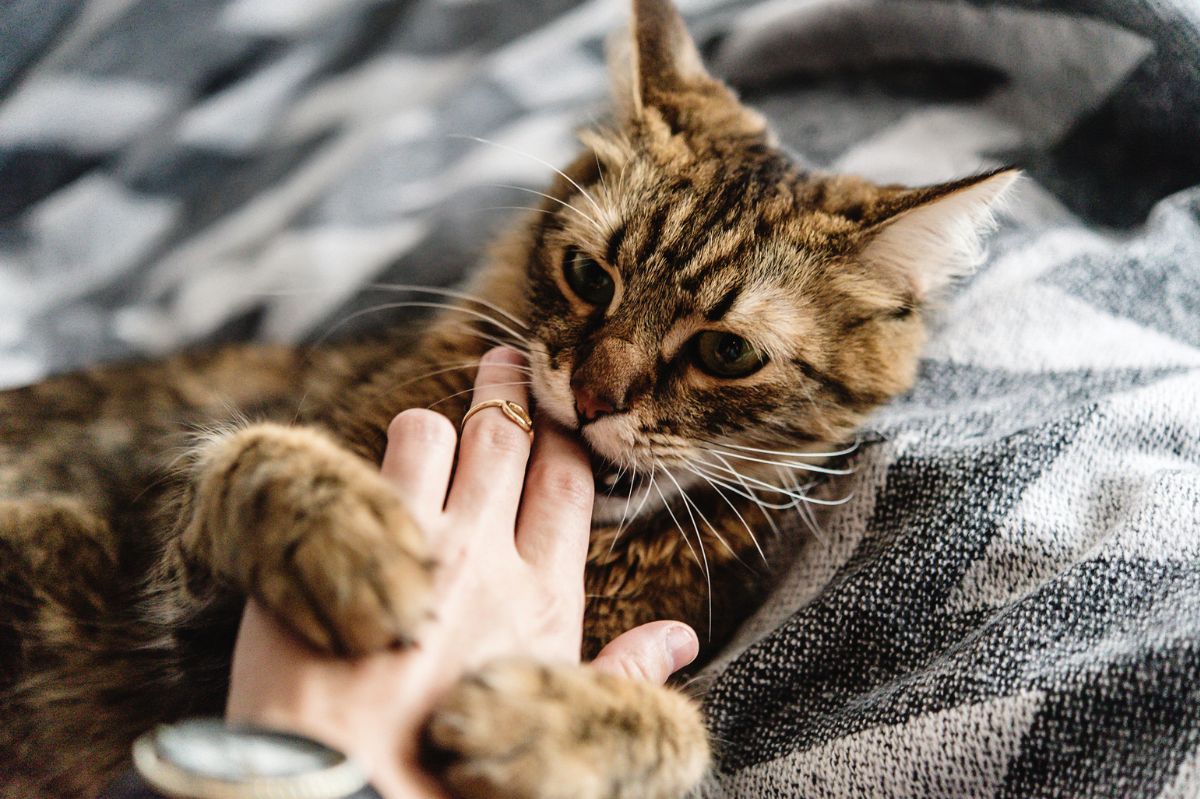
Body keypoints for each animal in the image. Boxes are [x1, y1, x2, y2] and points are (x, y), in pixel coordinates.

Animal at [0, 1, 1017, 796]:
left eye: (726, 351)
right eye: (589, 276)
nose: (595, 394)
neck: (606, 551)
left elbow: (678, 729)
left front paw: (537, 724)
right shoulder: (172, 585)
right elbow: (254, 451)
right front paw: (351, 539)